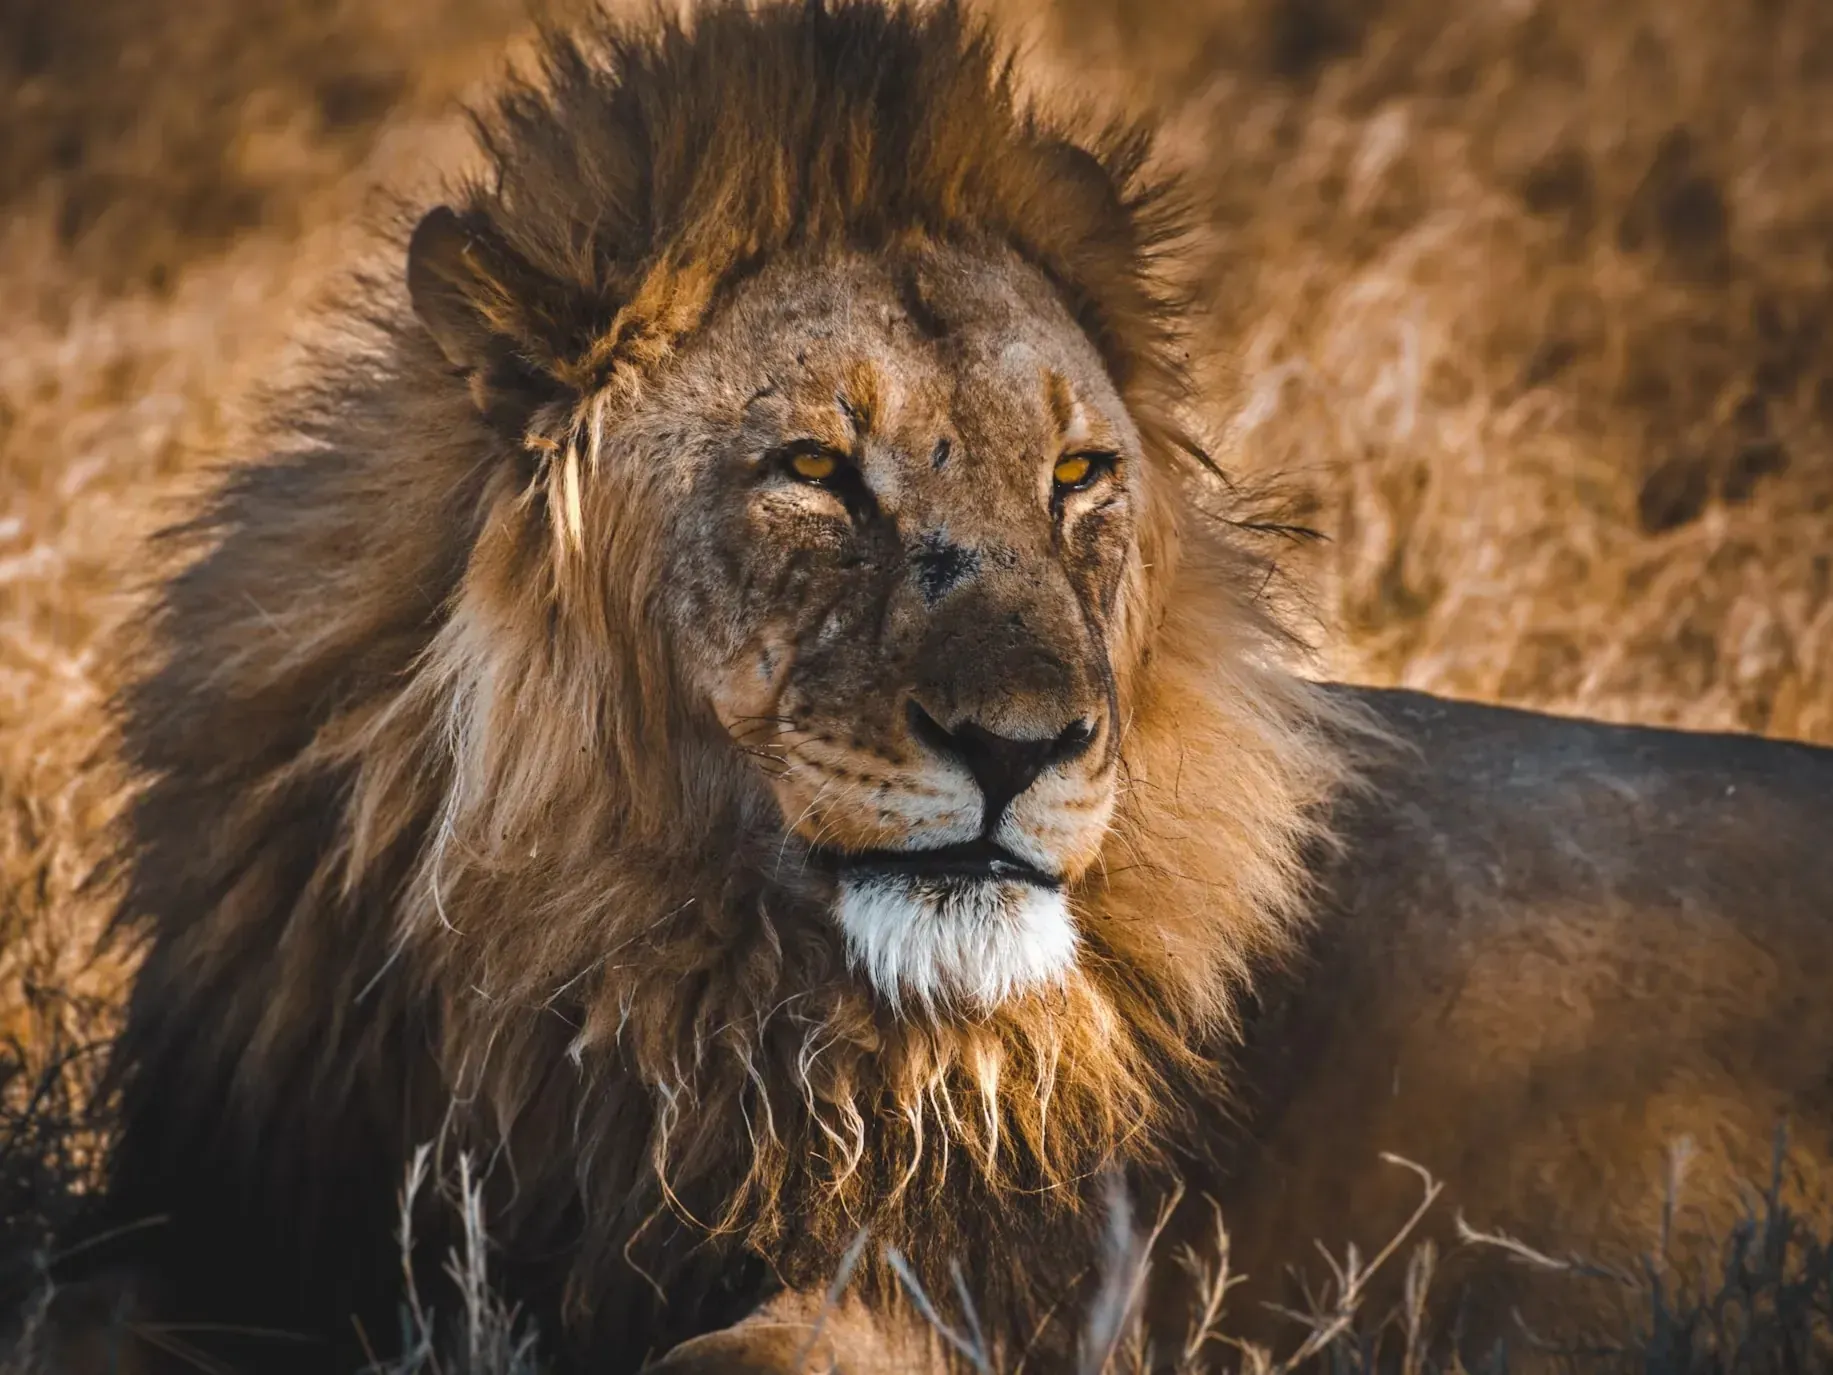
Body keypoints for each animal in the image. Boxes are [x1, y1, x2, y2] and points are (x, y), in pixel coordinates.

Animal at [79, 1, 1833, 1371]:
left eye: (1075, 475)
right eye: (811, 470)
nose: (1026, 745)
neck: (629, 970)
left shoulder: (999, 1289)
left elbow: (726, 1351)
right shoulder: (222, 1217)